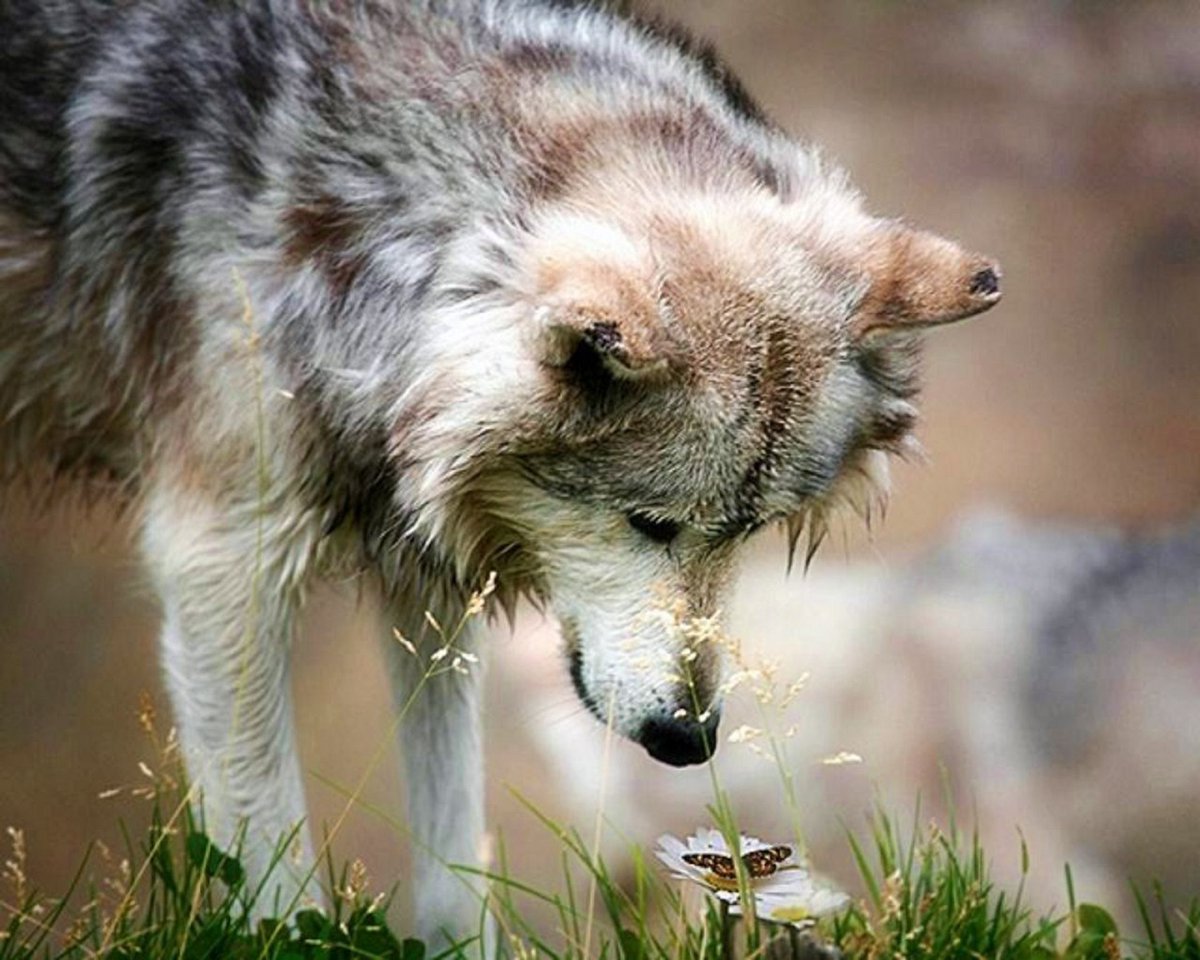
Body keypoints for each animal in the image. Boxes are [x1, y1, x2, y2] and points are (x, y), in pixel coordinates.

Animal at [0, 0, 1003, 945]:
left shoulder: (429, 583)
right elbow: (276, 878)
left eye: (747, 529)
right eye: (650, 522)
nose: (690, 739)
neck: (373, 231)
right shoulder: (221, 566)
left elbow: (453, 856)